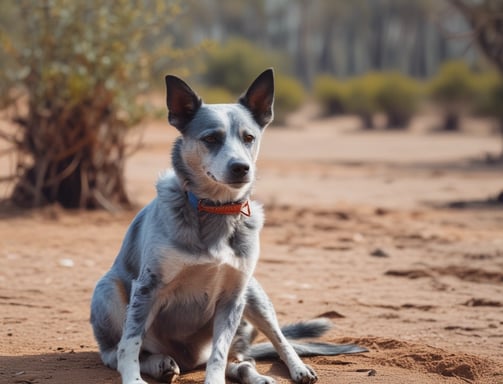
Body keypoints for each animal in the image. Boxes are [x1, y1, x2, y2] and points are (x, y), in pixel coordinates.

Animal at [90, 70, 366, 384]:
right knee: (118, 351)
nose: (241, 167)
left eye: (249, 137)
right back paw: (160, 363)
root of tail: (189, 360)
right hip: (108, 291)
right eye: (211, 138)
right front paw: (134, 379)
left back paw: (284, 371)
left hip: (253, 295)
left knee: (258, 350)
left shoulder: (233, 298)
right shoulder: (148, 287)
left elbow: (219, 356)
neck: (215, 209)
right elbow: (130, 345)